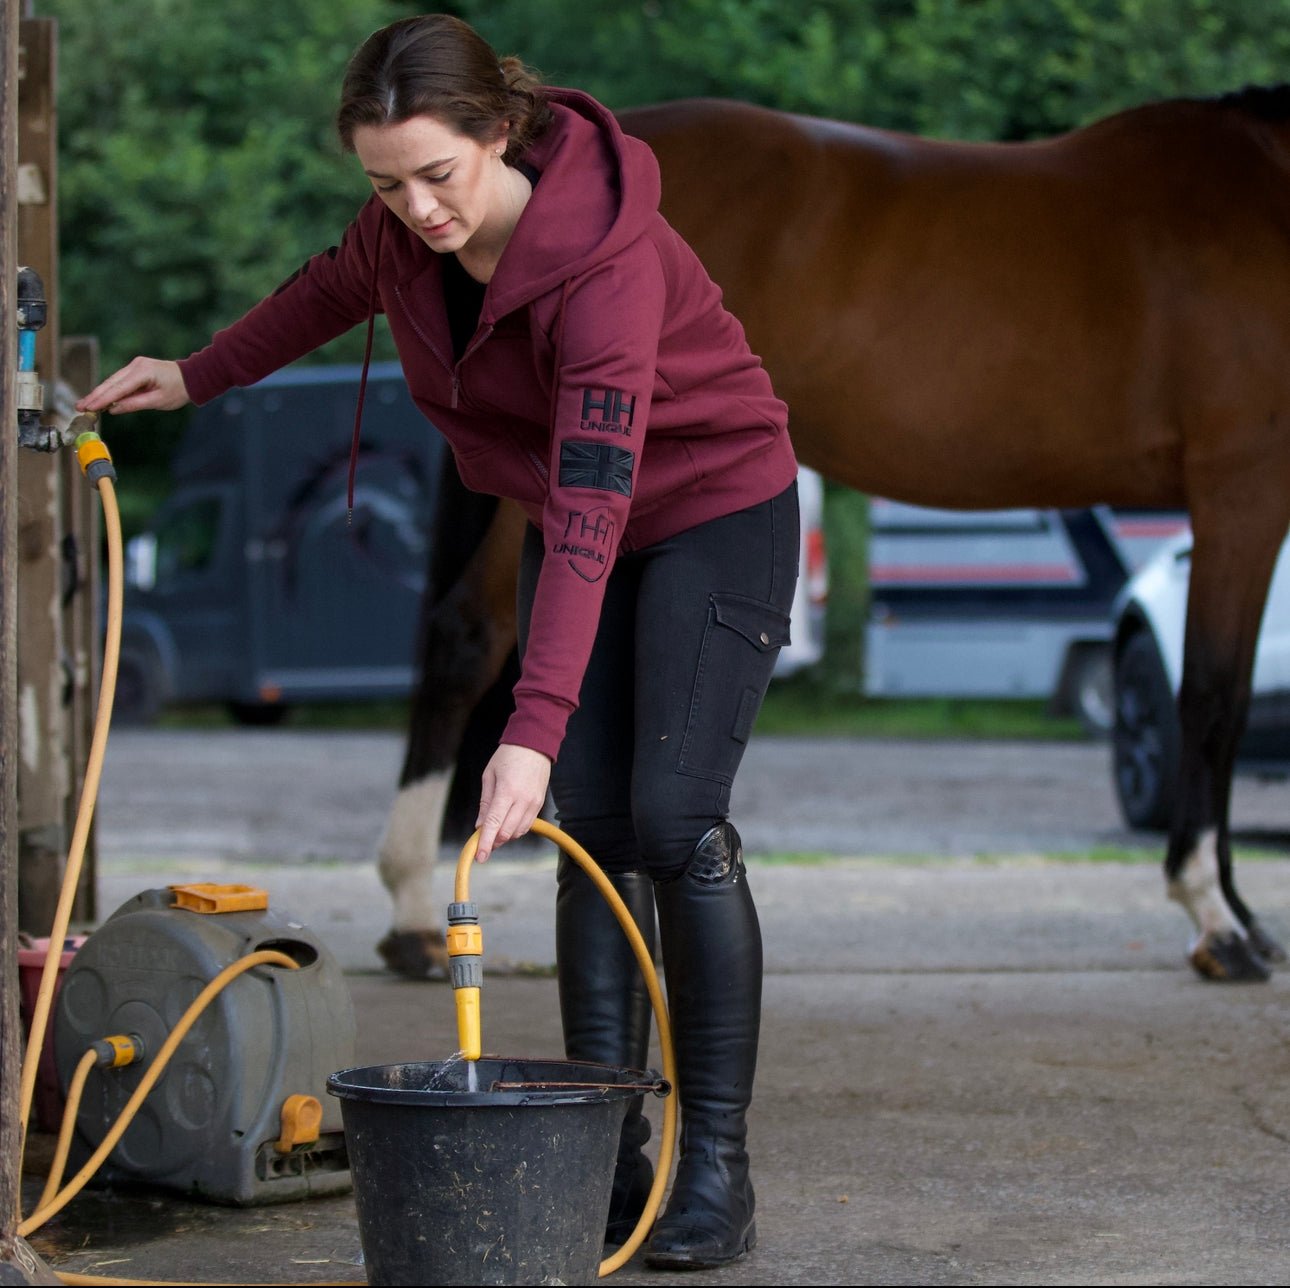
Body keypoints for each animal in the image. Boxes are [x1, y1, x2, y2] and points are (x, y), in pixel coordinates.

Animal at [374, 88, 1290, 986]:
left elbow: (1234, 698)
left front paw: (1242, 913)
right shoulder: (1242, 487)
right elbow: (1212, 697)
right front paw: (1216, 918)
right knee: (468, 636)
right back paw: (416, 915)